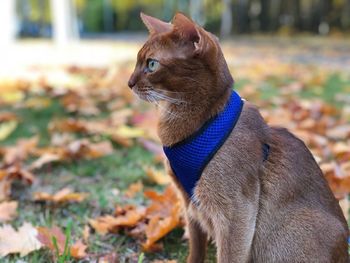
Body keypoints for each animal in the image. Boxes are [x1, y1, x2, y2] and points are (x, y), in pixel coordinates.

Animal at [127, 12, 348, 263]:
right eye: (138, 61)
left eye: (152, 64)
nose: (129, 83)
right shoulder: (189, 202)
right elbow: (196, 248)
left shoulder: (236, 210)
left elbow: (228, 256)